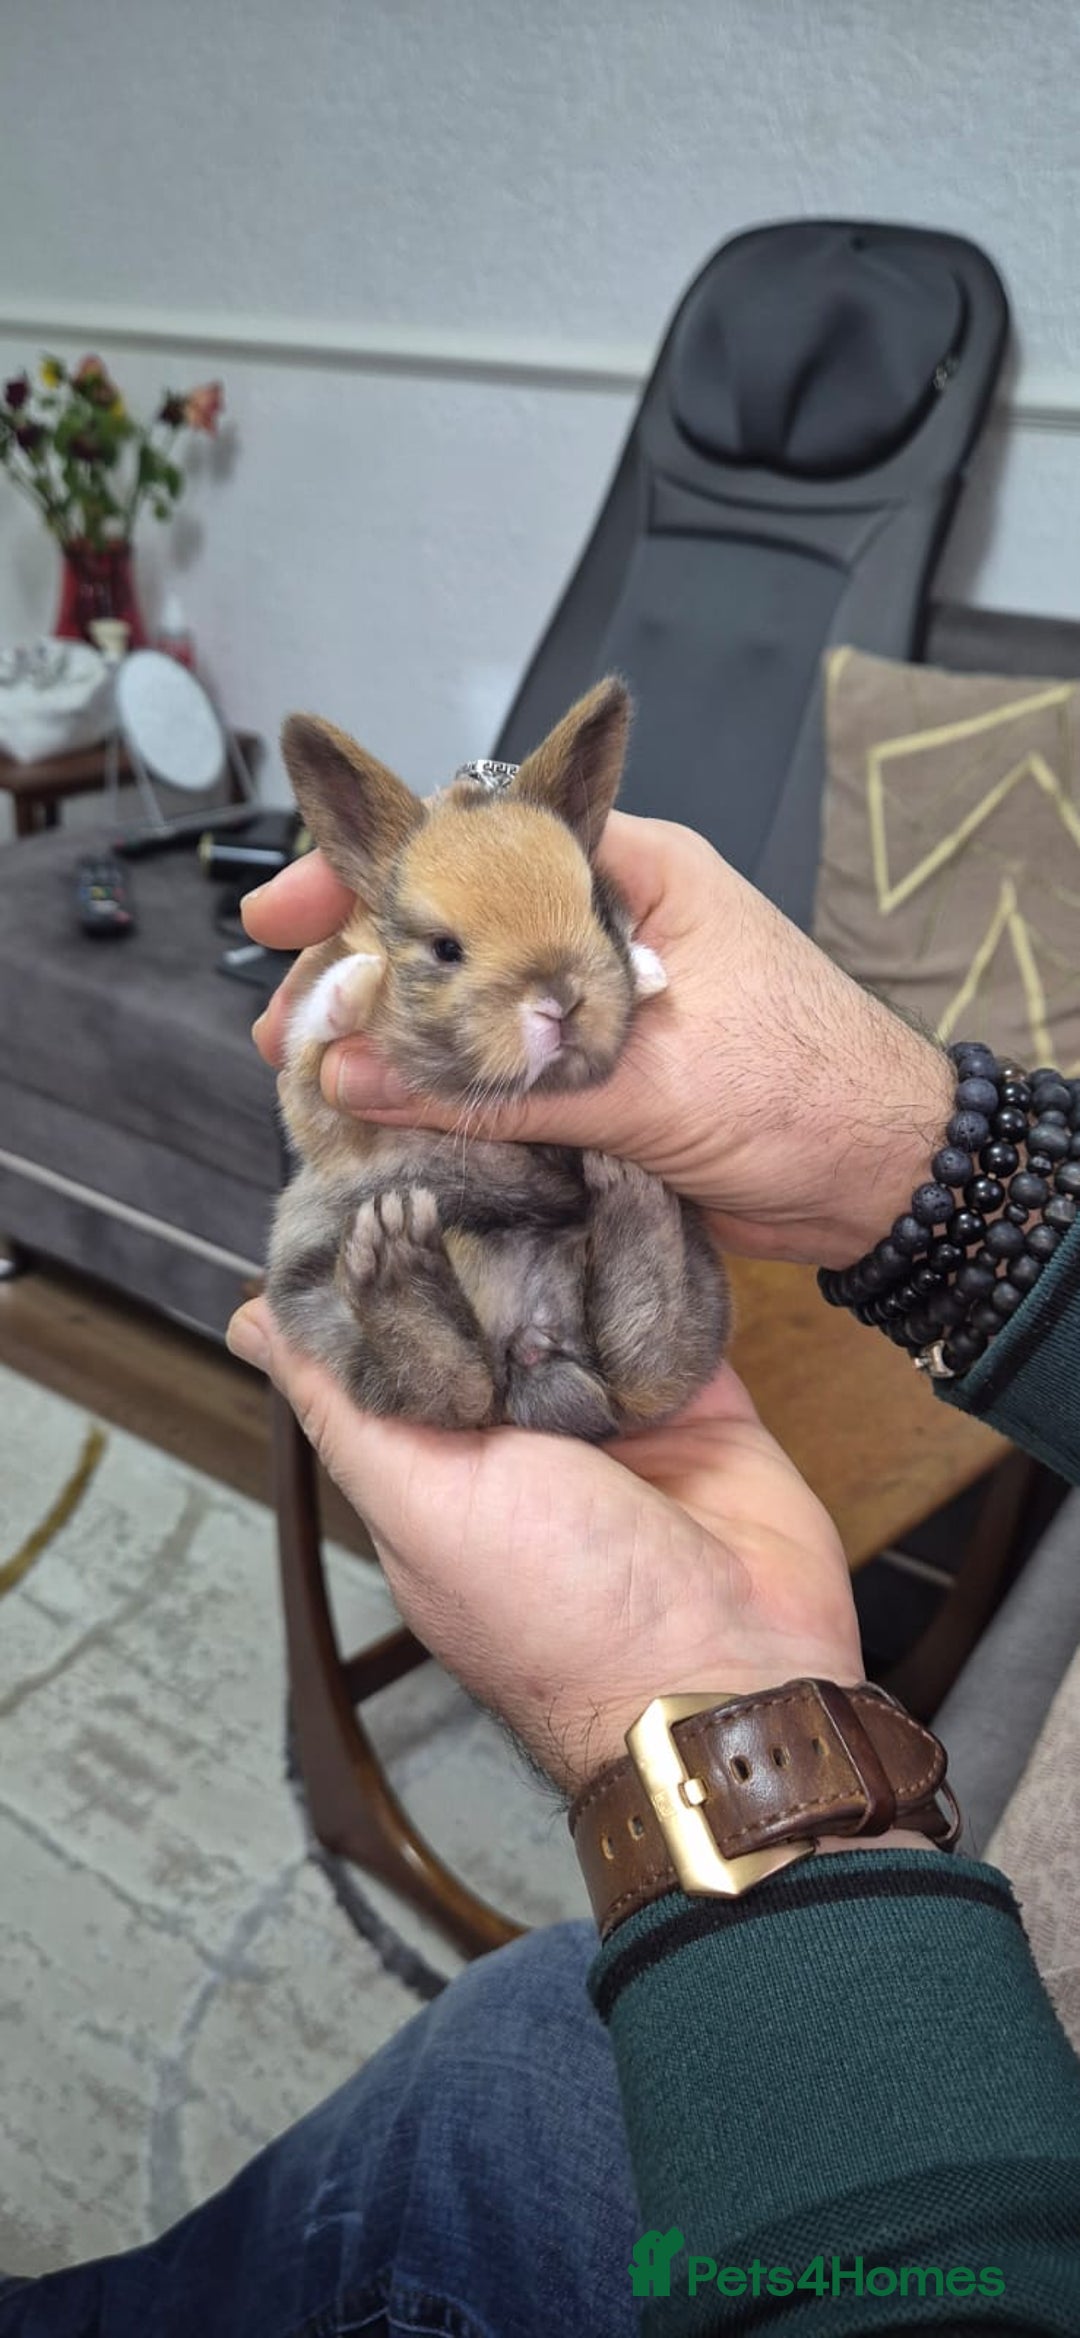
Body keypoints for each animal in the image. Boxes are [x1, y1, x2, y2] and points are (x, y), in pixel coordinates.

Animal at [267, 676, 730, 1440]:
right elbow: (311, 1036)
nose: (560, 1000)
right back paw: (397, 1259)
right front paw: (358, 982)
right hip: (321, 1297)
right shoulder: (316, 1108)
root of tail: (533, 1343)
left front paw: (648, 968)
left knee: (648, 1365)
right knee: (451, 1390)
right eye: (444, 948)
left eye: (596, 907)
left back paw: (629, 1196)